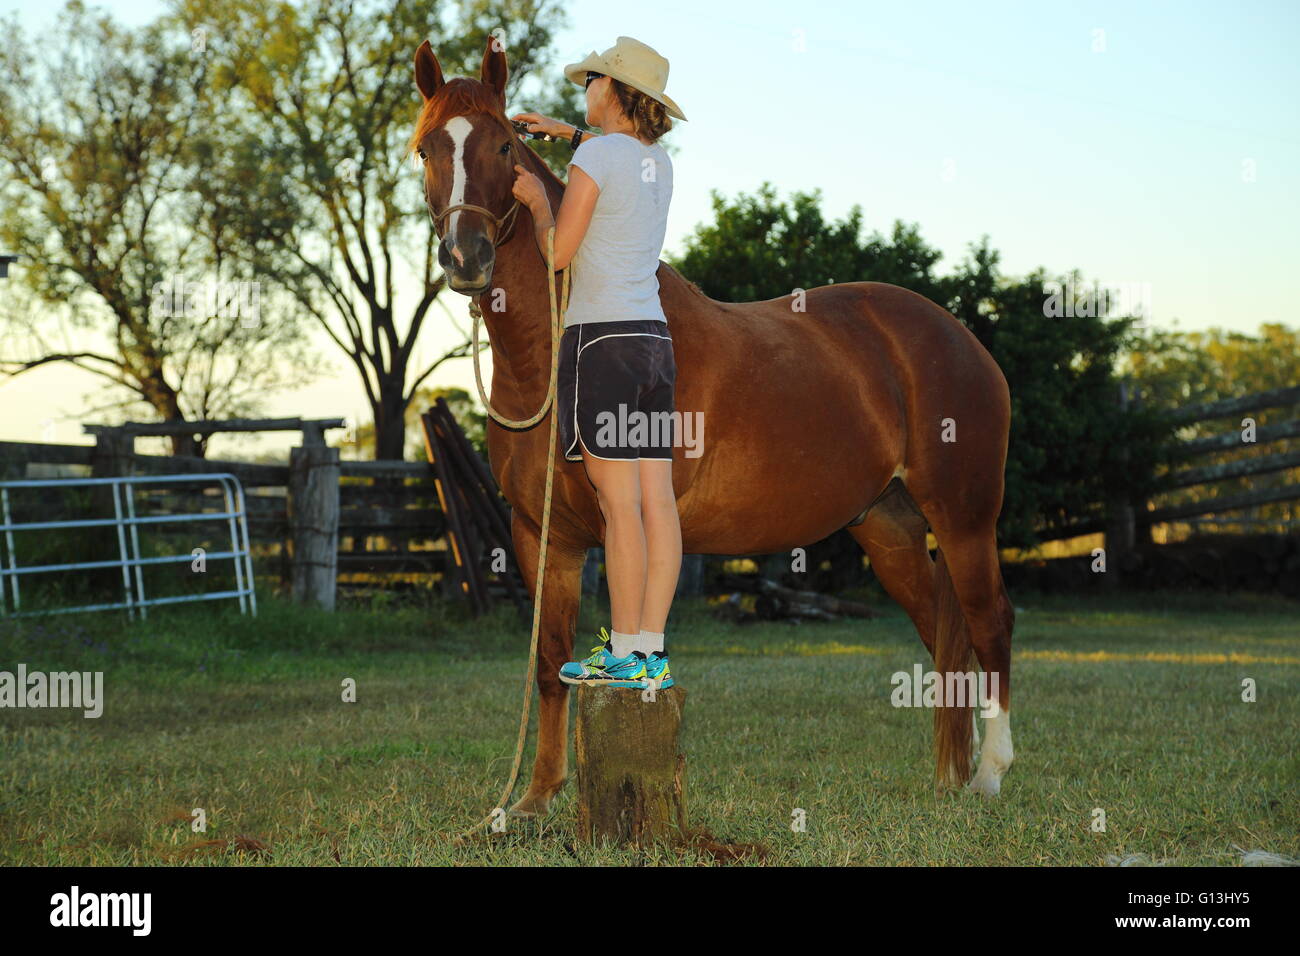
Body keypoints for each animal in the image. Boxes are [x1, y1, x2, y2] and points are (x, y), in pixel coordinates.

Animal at [413, 39, 1013, 816]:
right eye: (426, 147)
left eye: (503, 145)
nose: (466, 257)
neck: (556, 349)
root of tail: (962, 339)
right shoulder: (542, 535)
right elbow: (548, 664)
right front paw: (535, 799)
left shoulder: (624, 518)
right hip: (890, 526)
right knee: (944, 626)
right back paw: (951, 776)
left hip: (966, 518)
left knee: (990, 621)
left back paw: (991, 771)